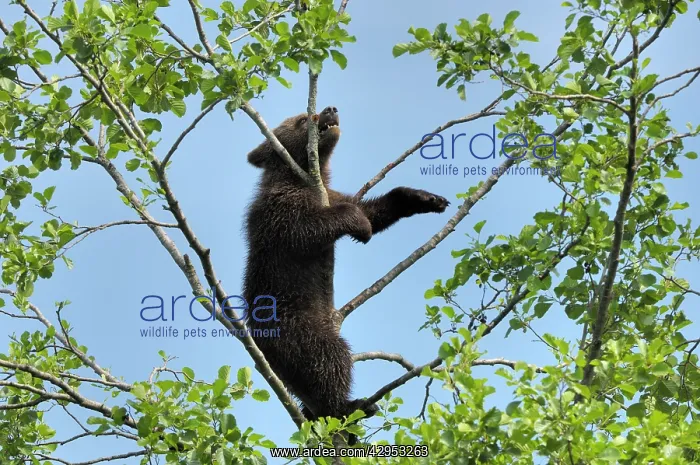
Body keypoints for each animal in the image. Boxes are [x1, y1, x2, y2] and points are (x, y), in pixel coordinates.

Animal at [242, 105, 449, 429]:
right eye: (303, 119)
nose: (330, 109)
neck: (307, 178)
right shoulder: (280, 212)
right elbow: (308, 229)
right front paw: (360, 225)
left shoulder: (331, 192)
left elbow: (373, 209)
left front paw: (425, 198)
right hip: (296, 328)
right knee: (329, 359)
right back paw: (350, 405)